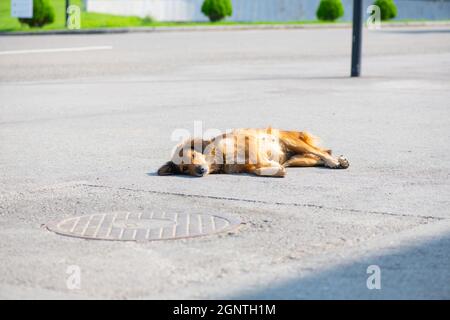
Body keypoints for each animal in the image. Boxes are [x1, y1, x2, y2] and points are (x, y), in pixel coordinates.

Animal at [157, 127, 348, 178]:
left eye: (194, 156)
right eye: (185, 169)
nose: (199, 170)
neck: (221, 159)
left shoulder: (249, 141)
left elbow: (258, 160)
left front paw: (270, 166)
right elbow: (257, 170)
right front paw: (275, 169)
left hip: (292, 142)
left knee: (321, 152)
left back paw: (335, 161)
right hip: (296, 159)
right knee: (317, 156)